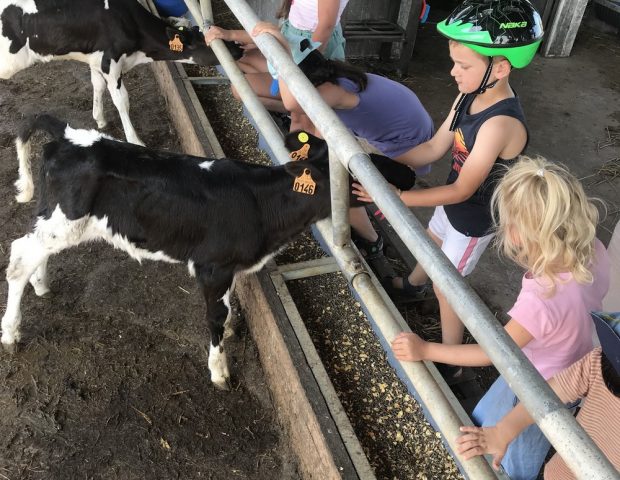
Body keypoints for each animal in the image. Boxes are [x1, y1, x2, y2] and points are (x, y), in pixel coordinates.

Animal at [0, 0, 241, 145]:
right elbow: (122, 100)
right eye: (210, 43)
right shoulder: (111, 61)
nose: (239, 47)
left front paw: (100, 119)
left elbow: (97, 86)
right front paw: (135, 140)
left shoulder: (96, 59)